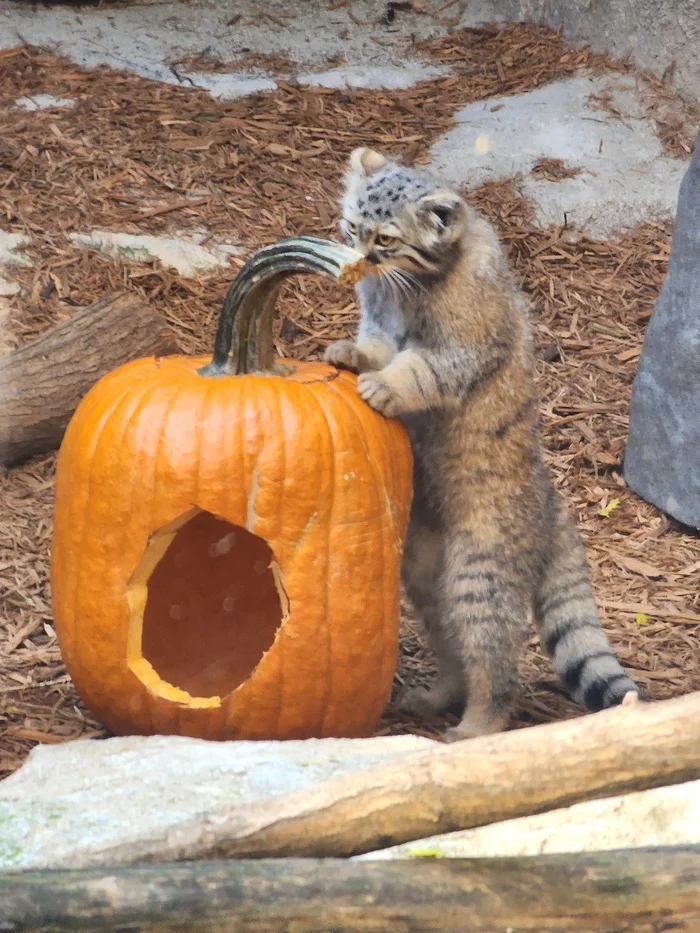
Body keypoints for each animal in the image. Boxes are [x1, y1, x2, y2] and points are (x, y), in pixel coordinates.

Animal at [326, 147, 644, 744]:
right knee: (452, 644)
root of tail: (551, 501)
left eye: (384, 239)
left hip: (481, 572)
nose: (354, 259)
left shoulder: (462, 349)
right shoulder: (380, 322)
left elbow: (418, 370)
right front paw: (351, 355)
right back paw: (439, 696)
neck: (409, 284)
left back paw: (475, 728)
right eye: (353, 226)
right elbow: (376, 347)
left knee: (496, 668)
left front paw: (386, 387)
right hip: (426, 572)